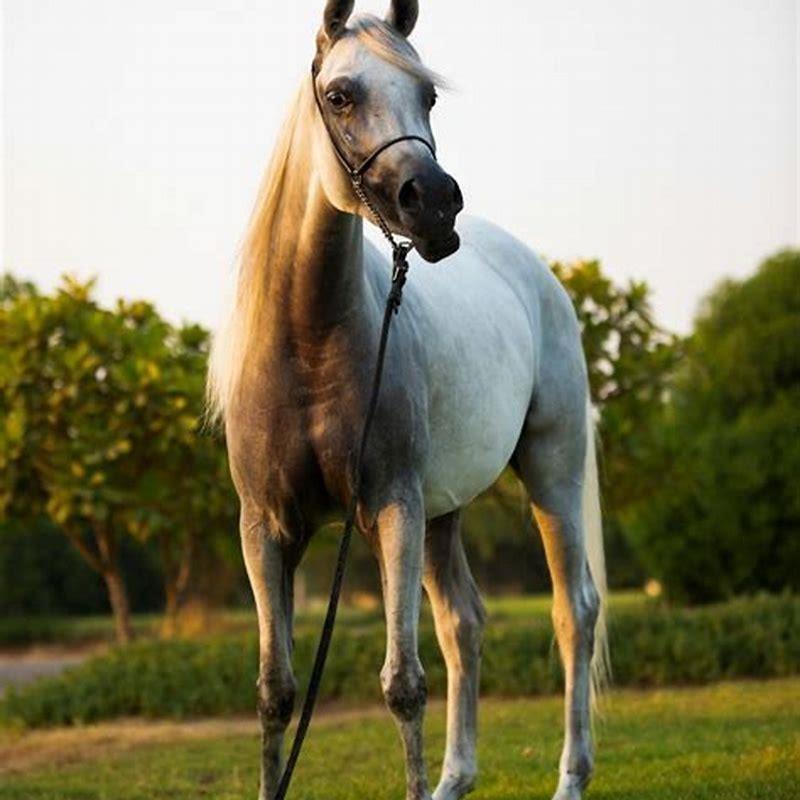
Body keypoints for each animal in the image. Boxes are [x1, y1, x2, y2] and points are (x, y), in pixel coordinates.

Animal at [207, 2, 609, 799]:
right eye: (339, 95)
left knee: (573, 613)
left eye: (427, 96)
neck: (306, 344)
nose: (436, 205)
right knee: (465, 623)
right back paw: (456, 778)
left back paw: (570, 777)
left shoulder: (393, 507)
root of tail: (537, 274)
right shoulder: (265, 529)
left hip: (550, 473)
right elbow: (275, 693)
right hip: (444, 513)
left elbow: (403, 685)